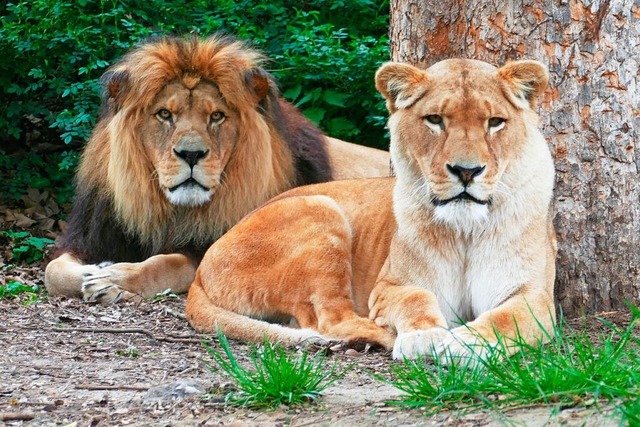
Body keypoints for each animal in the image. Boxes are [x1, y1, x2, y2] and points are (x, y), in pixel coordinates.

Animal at [45, 36, 388, 304]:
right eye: (164, 114)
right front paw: (93, 270)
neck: (171, 212)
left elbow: (165, 264)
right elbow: (53, 271)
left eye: (217, 116)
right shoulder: (90, 237)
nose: (191, 154)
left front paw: (114, 278)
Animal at [185, 56, 556, 358]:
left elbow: (504, 319)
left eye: (495, 122)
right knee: (328, 321)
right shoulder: (390, 286)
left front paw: (465, 343)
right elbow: (415, 299)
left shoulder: (535, 296)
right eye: (435, 119)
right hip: (320, 209)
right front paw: (424, 336)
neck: (465, 230)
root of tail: (200, 271)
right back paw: (381, 337)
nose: (466, 171)